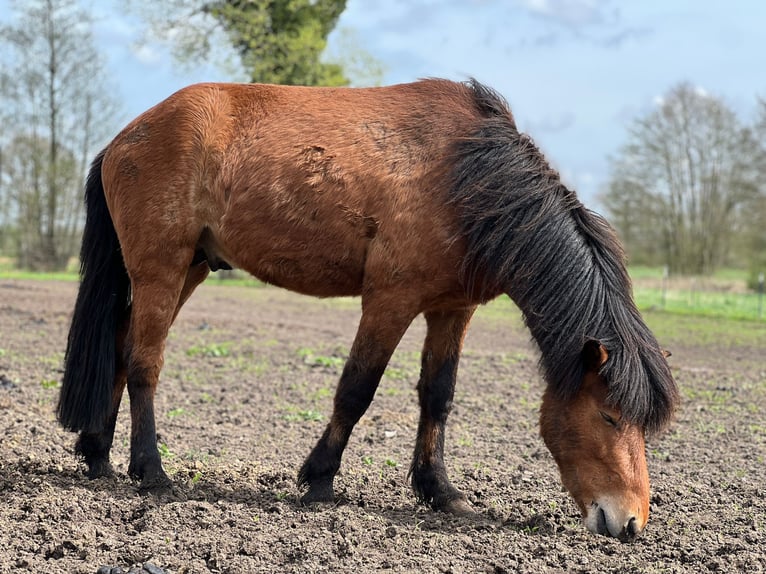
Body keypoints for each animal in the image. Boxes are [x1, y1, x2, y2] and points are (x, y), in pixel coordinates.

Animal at [58, 79, 680, 544]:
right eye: (609, 417)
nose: (630, 522)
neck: (469, 180)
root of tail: (125, 137)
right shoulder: (390, 299)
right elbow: (357, 389)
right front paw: (318, 481)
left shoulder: (452, 310)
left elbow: (439, 396)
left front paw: (441, 492)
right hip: (161, 268)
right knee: (145, 363)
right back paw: (151, 472)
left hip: (190, 267)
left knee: (121, 352)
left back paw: (98, 456)